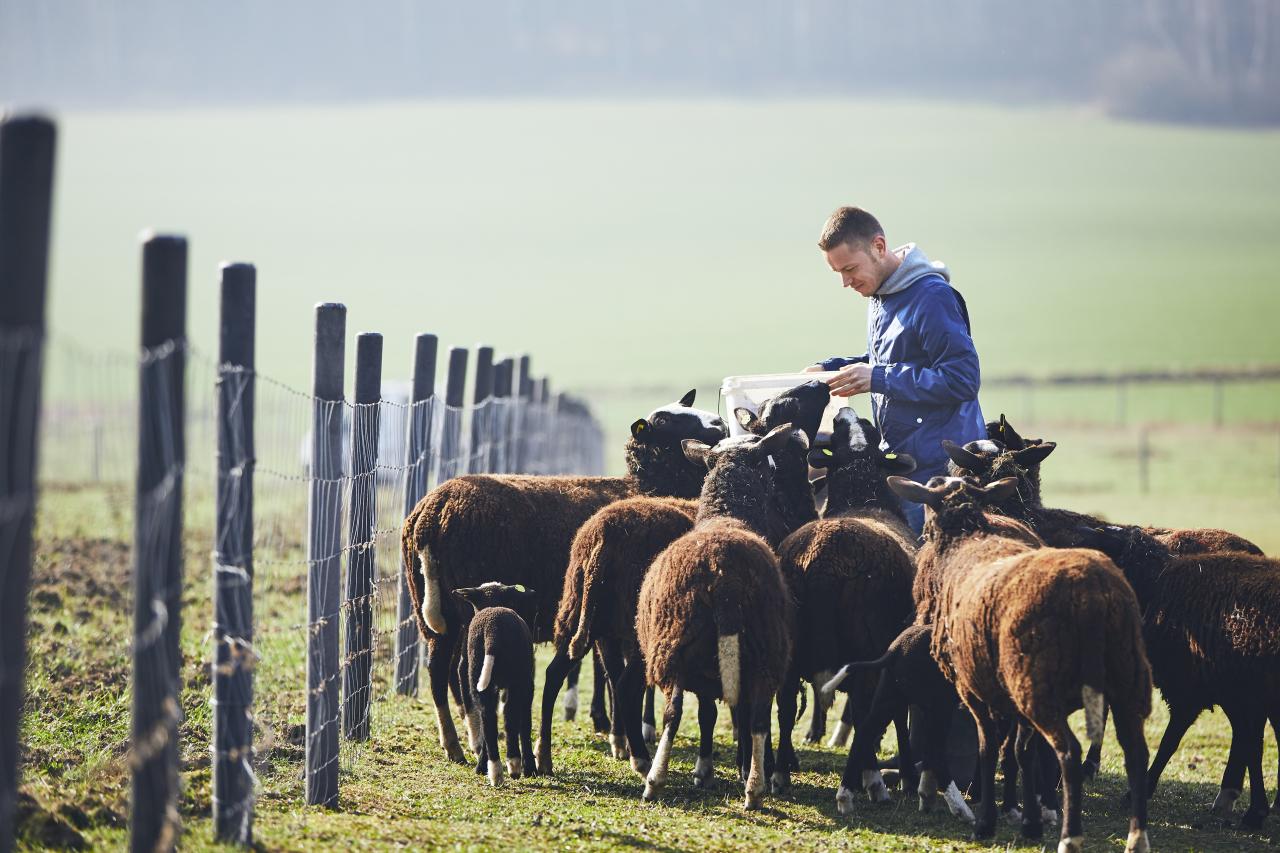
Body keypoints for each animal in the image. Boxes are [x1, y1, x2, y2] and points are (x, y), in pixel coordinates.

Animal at [401, 389, 728, 762]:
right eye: (665, 420)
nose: (719, 423)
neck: (643, 487)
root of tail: (429, 515)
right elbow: (614, 672)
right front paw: (624, 730)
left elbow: (607, 670)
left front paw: (614, 727)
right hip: (466, 604)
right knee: (452, 670)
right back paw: (468, 741)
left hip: (435, 607)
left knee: (442, 668)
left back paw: (462, 739)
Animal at [452, 582, 539, 786]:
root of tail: (492, 632)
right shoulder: (527, 685)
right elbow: (524, 723)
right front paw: (530, 768)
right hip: (518, 680)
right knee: (510, 716)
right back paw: (513, 765)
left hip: (477, 674)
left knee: (487, 717)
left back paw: (491, 770)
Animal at [636, 425, 801, 810]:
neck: (726, 513)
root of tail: (725, 577)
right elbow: (714, 715)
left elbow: (705, 715)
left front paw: (704, 771)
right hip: (764, 649)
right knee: (757, 717)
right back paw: (754, 789)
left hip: (675, 647)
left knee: (674, 711)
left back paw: (655, 781)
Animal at [771, 409, 918, 794]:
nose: (845, 411)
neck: (862, 497)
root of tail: (823, 557)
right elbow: (896, 713)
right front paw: (906, 775)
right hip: (864, 646)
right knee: (865, 709)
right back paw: (871, 779)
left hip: (792, 642)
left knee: (786, 703)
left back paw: (780, 773)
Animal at [889, 475, 1153, 853]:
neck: (967, 537)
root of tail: (1092, 595)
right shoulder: (1006, 688)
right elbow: (1020, 749)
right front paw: (1028, 821)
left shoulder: (973, 687)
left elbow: (988, 748)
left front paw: (986, 823)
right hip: (1125, 676)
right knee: (1136, 754)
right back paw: (1137, 837)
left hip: (1041, 685)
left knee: (1070, 753)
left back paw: (1070, 837)